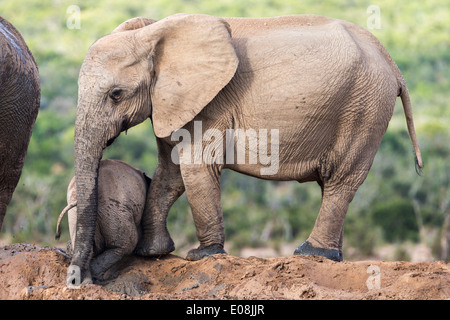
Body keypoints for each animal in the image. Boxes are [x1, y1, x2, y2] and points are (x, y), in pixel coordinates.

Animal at [70, 13, 422, 284]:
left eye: (116, 94)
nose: (84, 279)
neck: (153, 34)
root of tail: (394, 65)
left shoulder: (211, 104)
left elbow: (195, 167)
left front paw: (201, 255)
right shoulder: (170, 104)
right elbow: (170, 173)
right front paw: (153, 253)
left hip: (364, 109)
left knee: (340, 180)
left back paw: (311, 253)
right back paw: (333, 256)